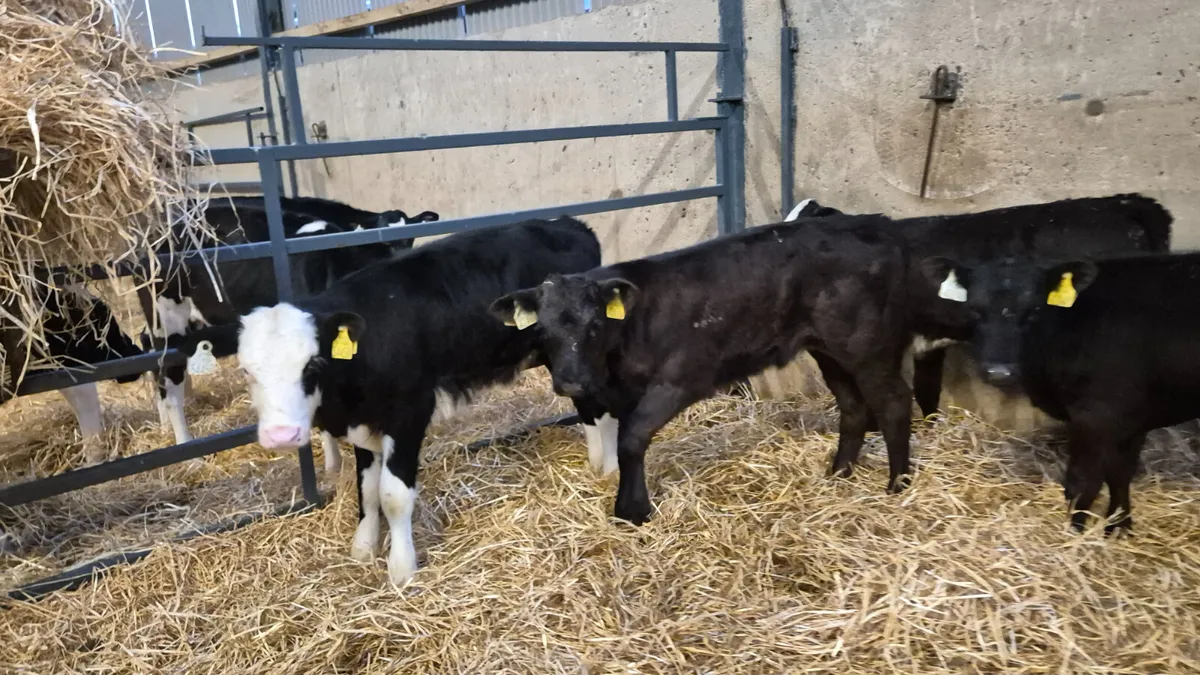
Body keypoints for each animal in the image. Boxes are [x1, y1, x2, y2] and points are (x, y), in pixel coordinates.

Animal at [186, 217, 601, 583]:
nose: (281, 436)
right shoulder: (363, 422)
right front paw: (364, 546)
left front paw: (401, 567)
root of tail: (570, 223)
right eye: (246, 371)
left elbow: (393, 494)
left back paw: (601, 466)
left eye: (313, 364)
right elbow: (367, 489)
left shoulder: (409, 414)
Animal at [490, 214, 918, 526]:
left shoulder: (678, 379)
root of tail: (879, 225)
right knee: (854, 406)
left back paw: (898, 484)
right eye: (542, 331)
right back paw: (839, 473)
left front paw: (631, 511)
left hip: (869, 347)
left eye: (595, 325)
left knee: (894, 402)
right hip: (829, 351)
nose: (572, 382)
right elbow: (625, 443)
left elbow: (631, 440)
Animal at [921, 250, 1200, 533]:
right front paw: (1118, 526)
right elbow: (1120, 473)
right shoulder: (1131, 419)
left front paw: (1076, 534)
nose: (999, 371)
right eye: (975, 310)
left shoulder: (1099, 415)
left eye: (1035, 310)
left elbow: (1082, 482)